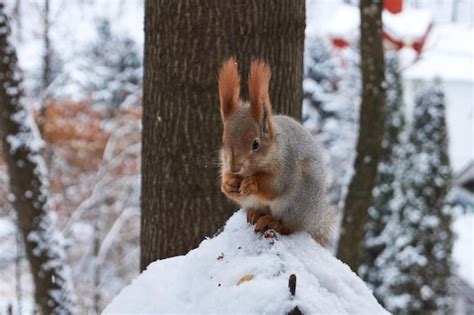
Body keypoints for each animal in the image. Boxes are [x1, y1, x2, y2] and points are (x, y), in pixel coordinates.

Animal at [218, 58, 334, 247]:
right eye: (224, 141)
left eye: (255, 144)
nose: (235, 168)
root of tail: (314, 222)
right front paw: (228, 184)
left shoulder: (287, 165)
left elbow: (275, 186)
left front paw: (252, 183)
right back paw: (255, 214)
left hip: (298, 204)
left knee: (289, 227)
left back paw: (273, 222)